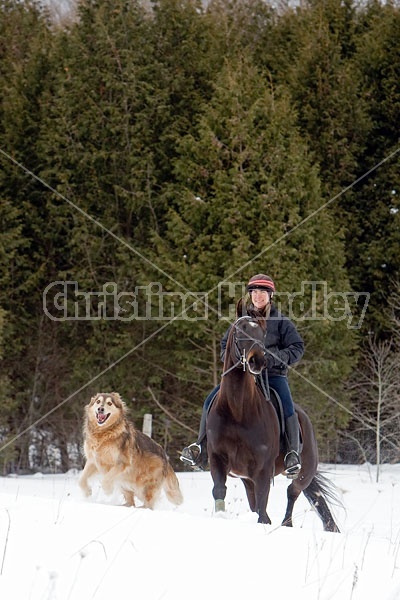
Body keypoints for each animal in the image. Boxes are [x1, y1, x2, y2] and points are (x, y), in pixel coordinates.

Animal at [206, 304, 340, 528]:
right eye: (240, 331)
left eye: (262, 333)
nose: (258, 361)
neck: (237, 409)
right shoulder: (217, 458)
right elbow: (219, 490)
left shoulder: (262, 469)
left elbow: (263, 507)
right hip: (247, 478)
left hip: (304, 471)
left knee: (293, 491)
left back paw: (287, 524)